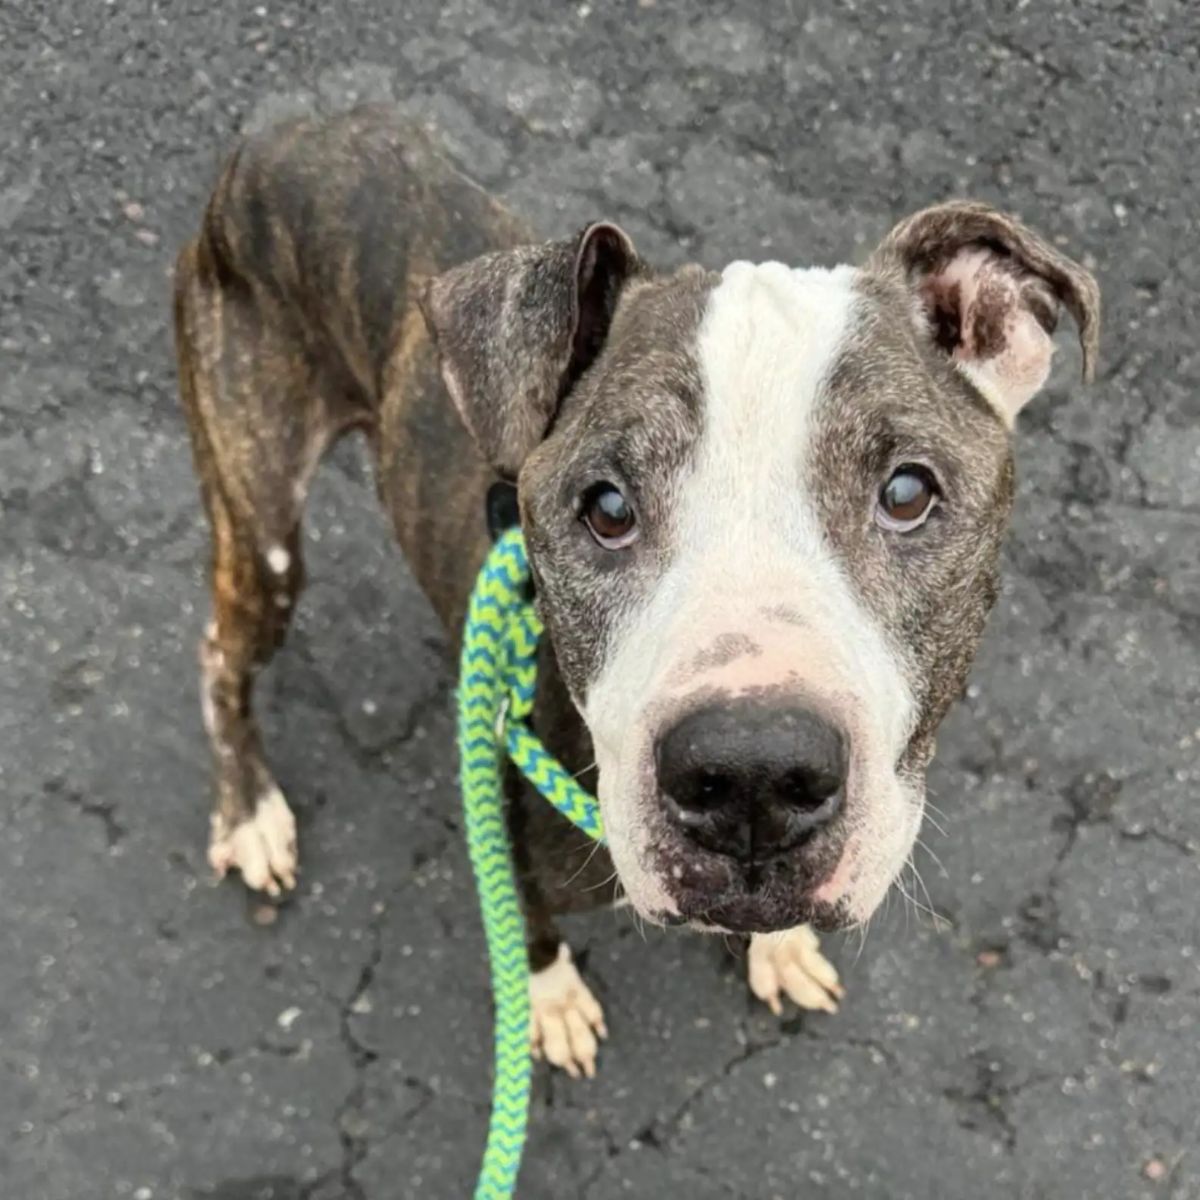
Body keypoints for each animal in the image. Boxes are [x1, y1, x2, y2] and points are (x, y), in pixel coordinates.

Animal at [174, 105, 1099, 1080]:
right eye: (607, 507)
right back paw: (250, 814)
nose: (752, 776)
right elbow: (528, 934)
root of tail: (279, 130)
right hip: (262, 523)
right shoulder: (507, 840)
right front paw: (551, 1004)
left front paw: (778, 949)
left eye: (908, 493)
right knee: (219, 650)